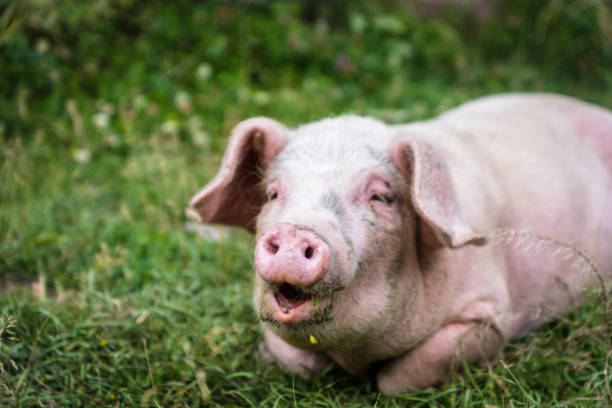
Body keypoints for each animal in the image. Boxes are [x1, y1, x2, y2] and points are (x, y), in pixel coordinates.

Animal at [186, 93, 612, 396]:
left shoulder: (489, 316)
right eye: (273, 193)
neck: (355, 354)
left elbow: (396, 380)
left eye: (380, 197)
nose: (295, 232)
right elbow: (299, 363)